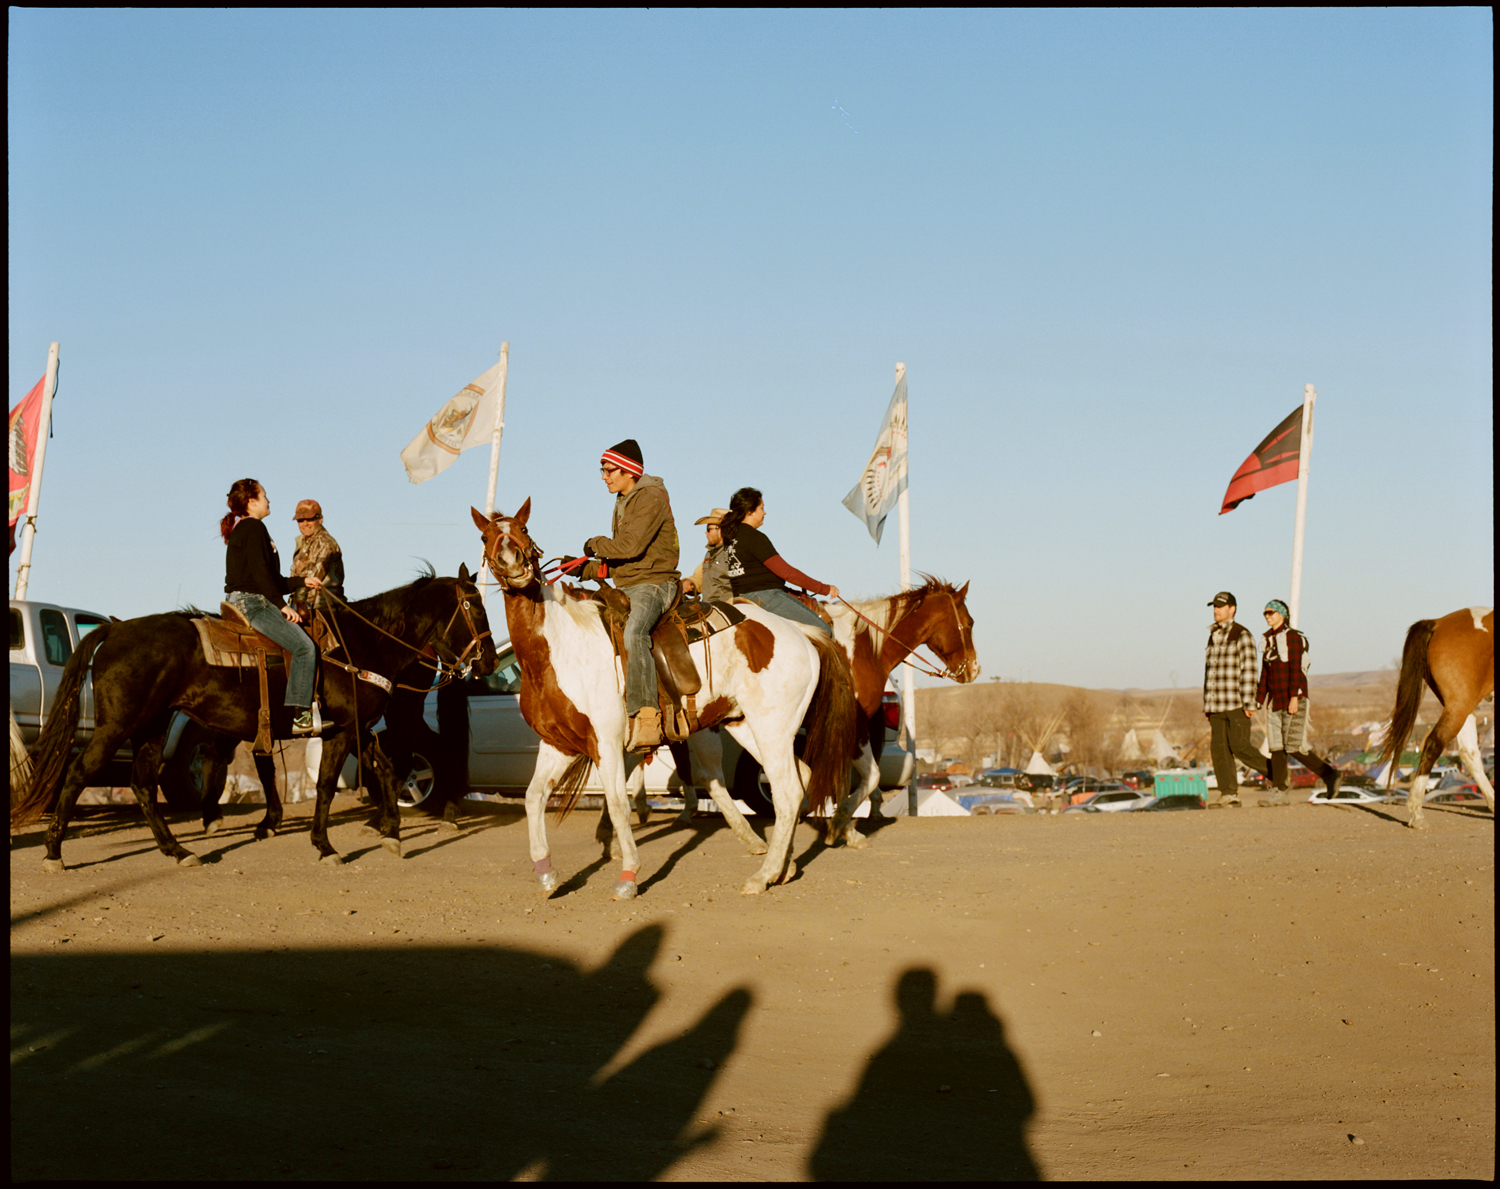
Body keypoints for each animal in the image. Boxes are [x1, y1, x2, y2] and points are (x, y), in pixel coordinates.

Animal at [11, 566, 495, 863]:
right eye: (473, 607)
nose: (488, 660)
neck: (360, 644)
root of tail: (114, 628)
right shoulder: (342, 730)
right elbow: (325, 785)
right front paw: (325, 845)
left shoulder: (354, 728)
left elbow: (386, 770)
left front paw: (391, 832)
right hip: (118, 726)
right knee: (78, 773)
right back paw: (54, 853)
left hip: (151, 725)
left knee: (143, 785)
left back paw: (178, 852)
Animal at [468, 500, 858, 899]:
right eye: (486, 536)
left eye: (524, 530)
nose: (514, 564)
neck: (559, 647)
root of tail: (802, 633)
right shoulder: (558, 744)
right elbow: (534, 797)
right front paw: (546, 875)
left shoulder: (607, 744)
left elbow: (618, 805)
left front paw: (628, 876)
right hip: (745, 725)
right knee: (800, 778)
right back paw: (784, 866)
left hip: (772, 728)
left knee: (787, 791)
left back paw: (763, 875)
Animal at [1374, 602, 1494, 827]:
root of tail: (1437, 623)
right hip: (1459, 706)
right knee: (1434, 744)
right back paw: (1416, 813)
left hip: (1461, 708)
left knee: (1469, 752)